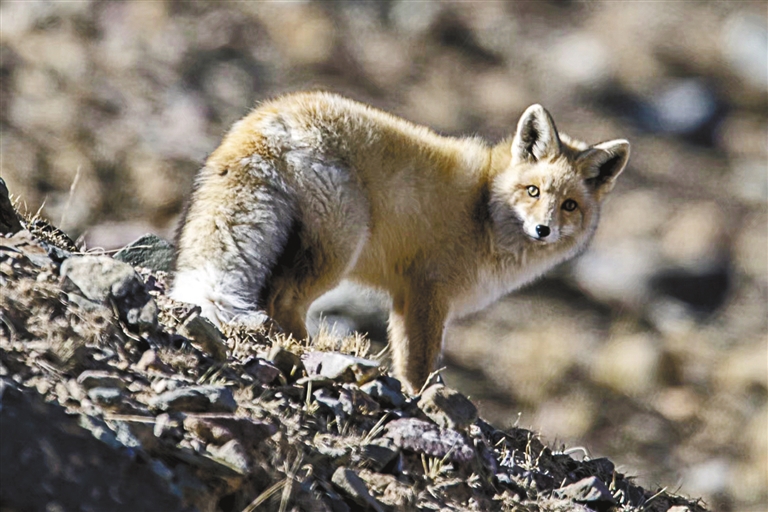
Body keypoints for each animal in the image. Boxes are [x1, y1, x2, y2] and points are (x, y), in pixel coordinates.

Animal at [174, 92, 632, 394]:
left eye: (569, 205)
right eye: (534, 191)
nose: (543, 230)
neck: (485, 207)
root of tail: (269, 113)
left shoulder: (402, 298)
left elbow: (406, 357)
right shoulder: (428, 292)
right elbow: (419, 365)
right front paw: (423, 399)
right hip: (339, 251)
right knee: (283, 301)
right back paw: (310, 352)